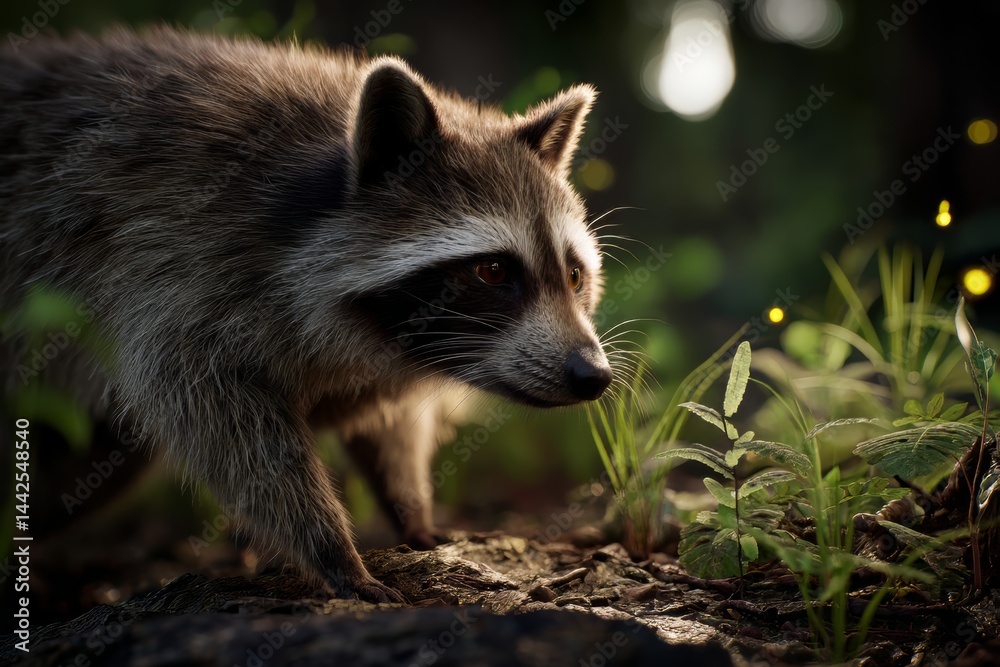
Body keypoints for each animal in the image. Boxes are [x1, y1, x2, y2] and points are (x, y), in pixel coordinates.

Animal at [0, 27, 612, 602]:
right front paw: (331, 548)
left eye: (573, 275)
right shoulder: (176, 269)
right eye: (492, 271)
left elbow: (387, 423)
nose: (594, 375)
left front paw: (410, 506)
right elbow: (226, 429)